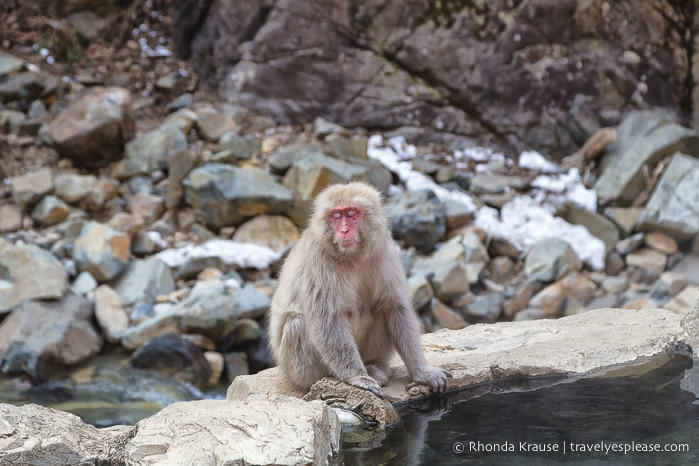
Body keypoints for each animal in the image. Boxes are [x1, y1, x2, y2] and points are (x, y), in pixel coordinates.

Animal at [270, 179, 452, 396]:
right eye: (336, 216)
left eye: (351, 214)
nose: (344, 230)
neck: (352, 258)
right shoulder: (319, 261)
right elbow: (328, 320)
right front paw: (357, 378)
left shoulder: (385, 252)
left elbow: (395, 308)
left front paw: (422, 372)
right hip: (296, 370)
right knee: (296, 323)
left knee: (381, 310)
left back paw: (374, 366)